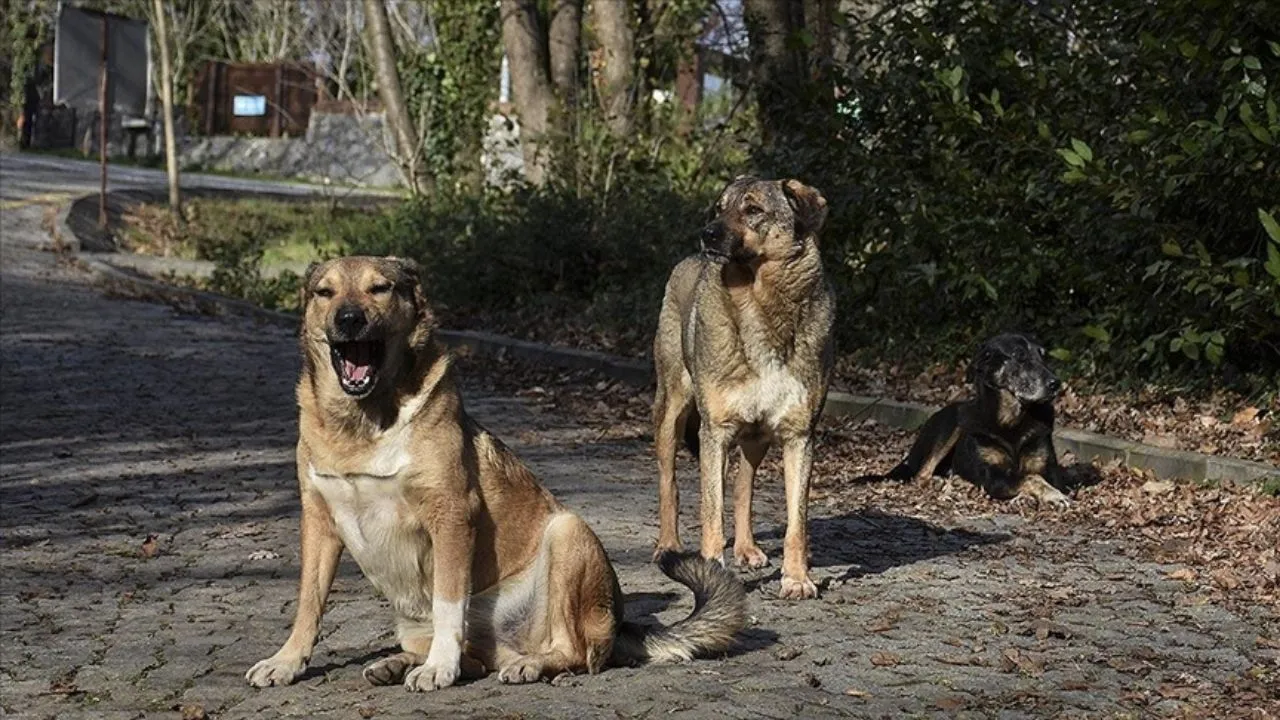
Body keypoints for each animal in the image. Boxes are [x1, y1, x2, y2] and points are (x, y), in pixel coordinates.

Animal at [244, 256, 747, 691]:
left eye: (379, 288)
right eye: (324, 292)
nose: (348, 319)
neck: (363, 423)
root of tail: (621, 622)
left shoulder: (451, 516)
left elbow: (449, 604)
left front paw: (439, 669)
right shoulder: (319, 521)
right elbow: (309, 603)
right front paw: (286, 661)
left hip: (567, 533)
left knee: (574, 652)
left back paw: (525, 665)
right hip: (411, 620)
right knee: (476, 658)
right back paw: (399, 663)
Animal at [655, 176, 834, 597]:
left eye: (753, 209)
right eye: (719, 208)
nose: (706, 233)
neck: (759, 302)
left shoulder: (799, 436)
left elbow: (796, 523)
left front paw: (797, 578)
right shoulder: (715, 432)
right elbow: (711, 511)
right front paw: (711, 572)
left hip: (756, 438)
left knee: (743, 485)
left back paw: (747, 548)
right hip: (673, 412)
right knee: (670, 482)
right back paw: (669, 545)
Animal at [890, 333, 1070, 504]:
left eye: (1043, 356)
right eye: (1020, 356)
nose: (1056, 383)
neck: (1011, 421)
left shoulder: (1048, 469)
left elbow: (1036, 476)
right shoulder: (993, 476)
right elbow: (1031, 477)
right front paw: (1053, 495)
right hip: (952, 425)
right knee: (922, 473)